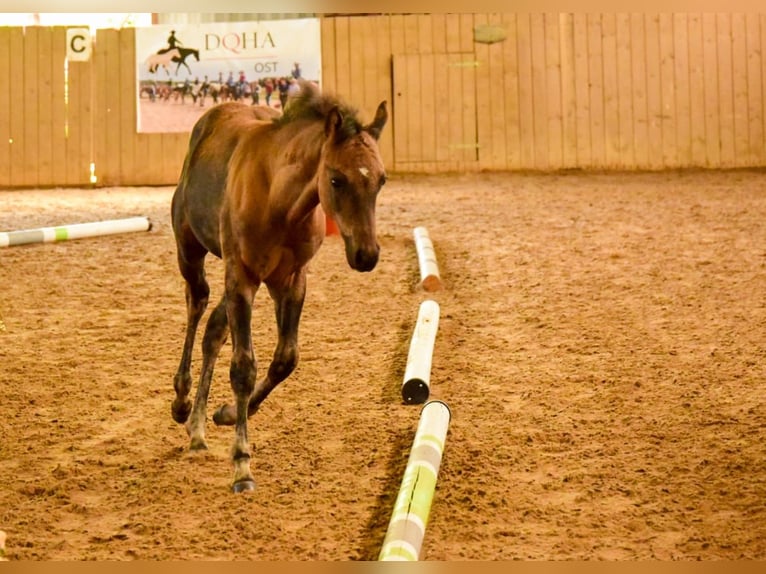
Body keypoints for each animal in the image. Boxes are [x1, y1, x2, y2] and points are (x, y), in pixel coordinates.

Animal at [170, 81, 388, 492]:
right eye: (335, 178)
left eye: (381, 180)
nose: (366, 255)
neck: (278, 198)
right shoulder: (241, 276)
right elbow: (243, 367)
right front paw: (242, 464)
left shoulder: (289, 280)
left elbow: (286, 359)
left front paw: (229, 413)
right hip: (191, 252)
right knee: (197, 302)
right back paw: (181, 400)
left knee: (214, 330)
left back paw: (198, 427)